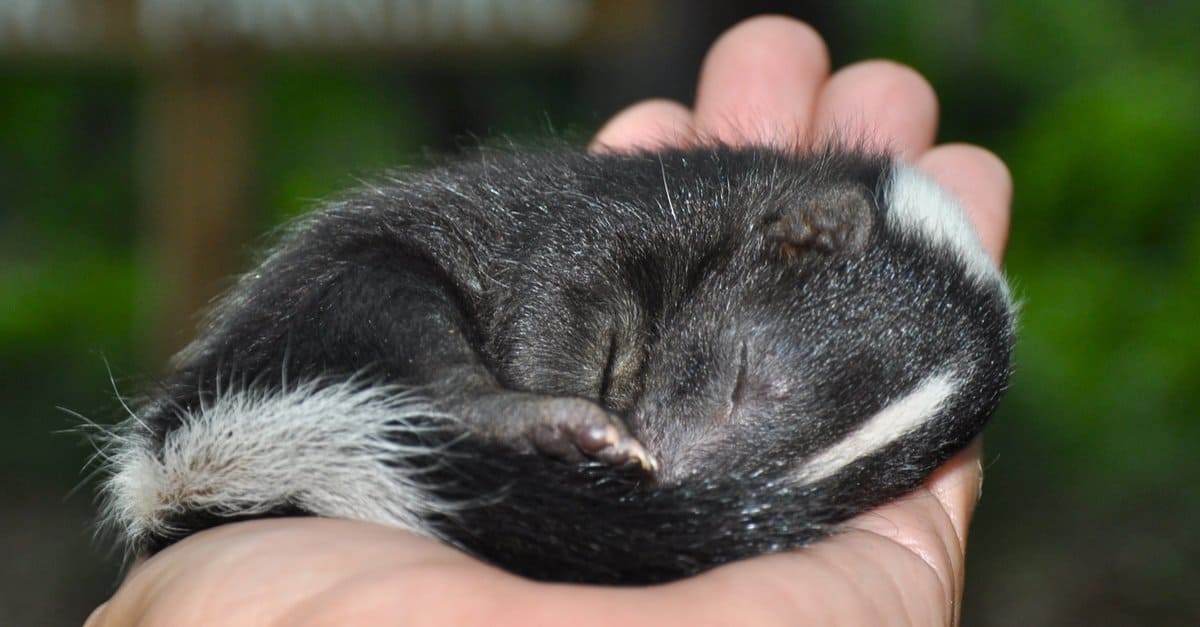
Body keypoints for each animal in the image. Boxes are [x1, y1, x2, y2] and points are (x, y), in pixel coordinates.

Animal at [103, 144, 1017, 583]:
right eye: (746, 377)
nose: (667, 477)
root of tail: (170, 465)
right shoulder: (627, 215)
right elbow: (554, 291)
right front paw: (572, 410)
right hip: (332, 297)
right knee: (415, 333)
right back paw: (546, 421)